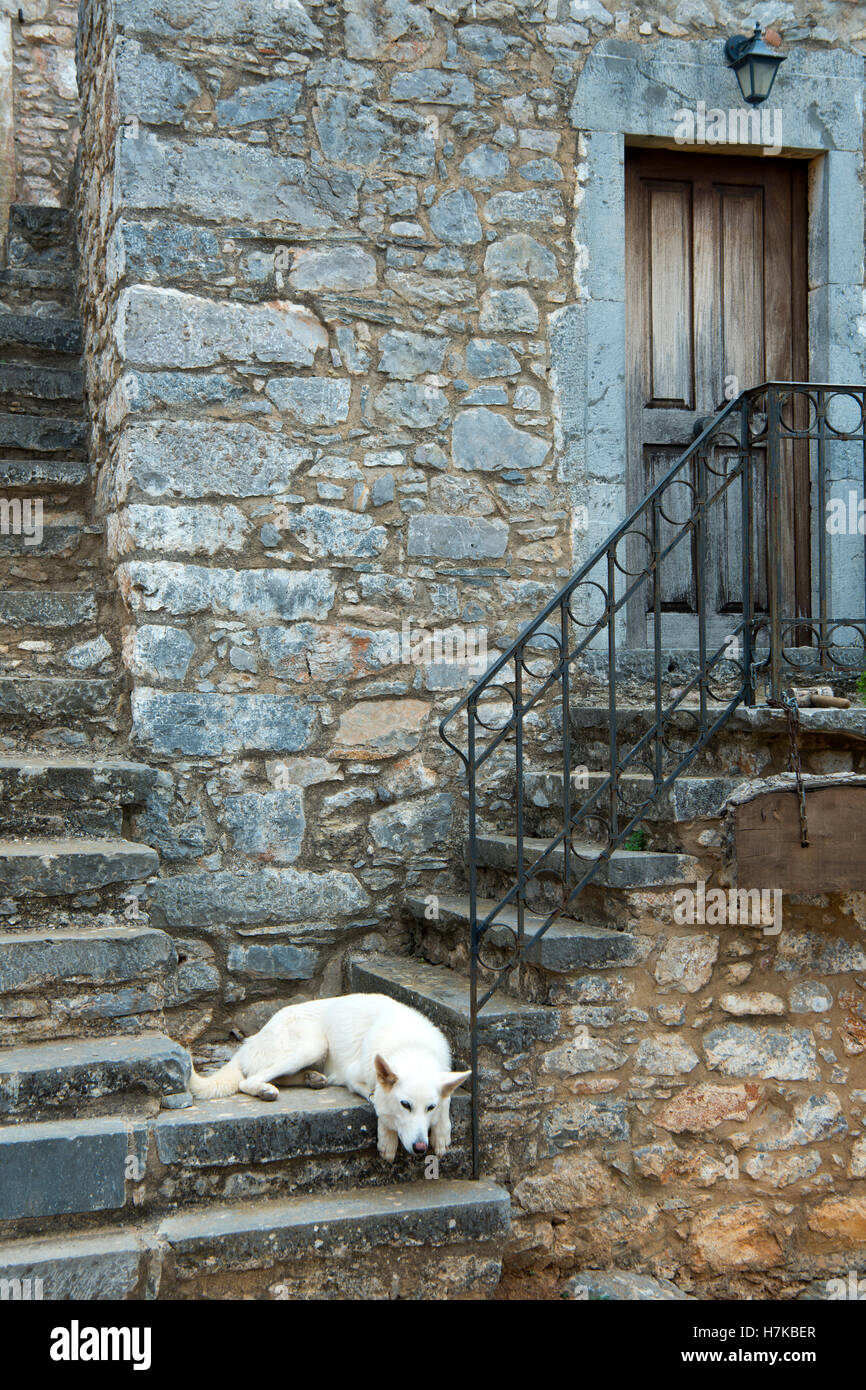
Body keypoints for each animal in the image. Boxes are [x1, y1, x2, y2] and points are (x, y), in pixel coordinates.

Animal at [184, 989, 469, 1162]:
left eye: (430, 1107)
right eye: (405, 1105)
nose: (420, 1148)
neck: (410, 1046)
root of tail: (248, 1043)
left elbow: (447, 1100)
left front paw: (442, 1133)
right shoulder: (357, 1077)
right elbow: (378, 1102)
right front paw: (388, 1140)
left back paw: (312, 1078)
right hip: (313, 1044)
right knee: (249, 1080)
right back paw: (267, 1089)